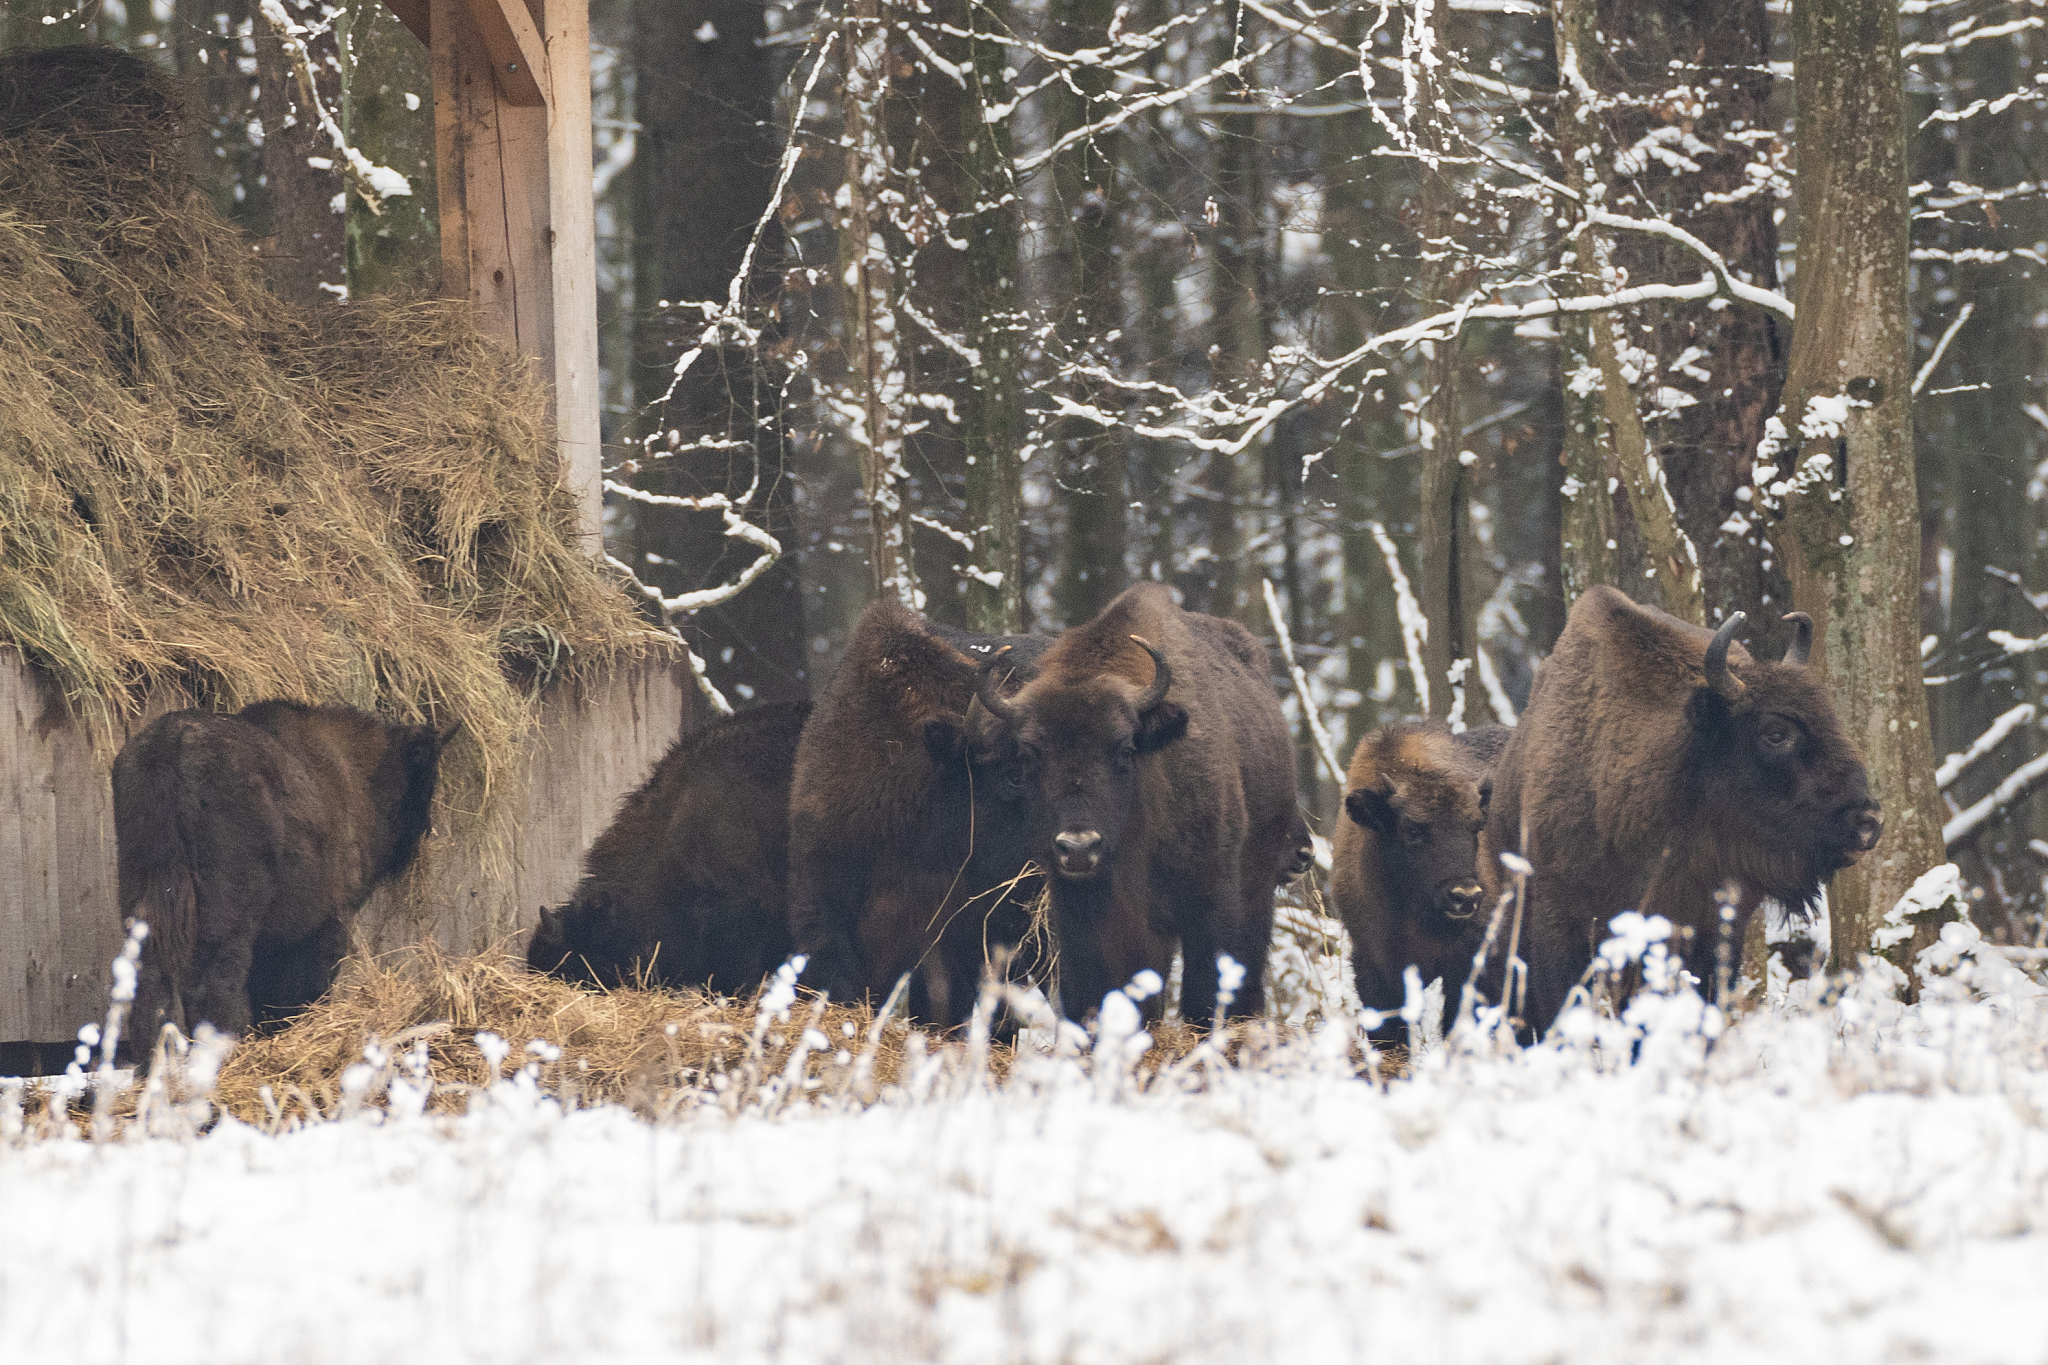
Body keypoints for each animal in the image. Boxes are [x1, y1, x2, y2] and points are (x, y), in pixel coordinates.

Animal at [114, 699, 449, 1048]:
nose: (426, 830)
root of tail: (173, 745)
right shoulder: (328, 920)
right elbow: (309, 983)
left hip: (147, 896)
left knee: (151, 981)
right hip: (228, 912)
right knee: (214, 982)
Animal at [964, 582, 1298, 1023]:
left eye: (1124, 748)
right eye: (1030, 754)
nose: (1079, 846)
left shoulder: (1209, 900)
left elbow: (1204, 991)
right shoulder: (1081, 918)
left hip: (1258, 884)